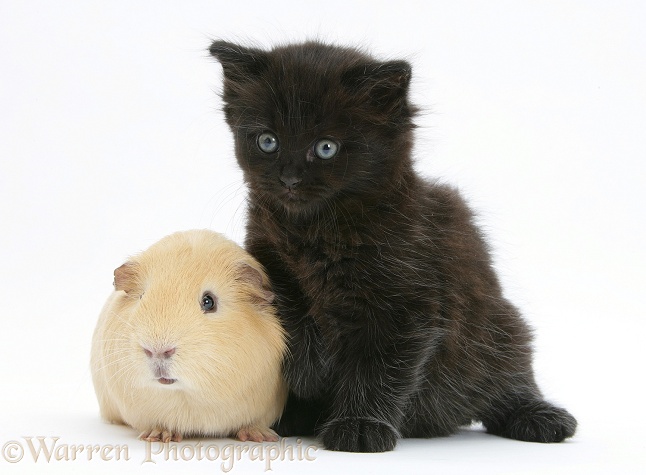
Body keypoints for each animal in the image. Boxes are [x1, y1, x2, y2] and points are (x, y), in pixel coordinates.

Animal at [209, 41, 576, 454]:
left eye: (326, 148)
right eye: (268, 141)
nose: (288, 179)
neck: (316, 234)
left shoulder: (405, 308)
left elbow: (378, 370)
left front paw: (359, 426)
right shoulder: (267, 256)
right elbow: (289, 310)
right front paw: (308, 370)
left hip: (499, 324)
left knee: (510, 379)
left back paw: (542, 417)